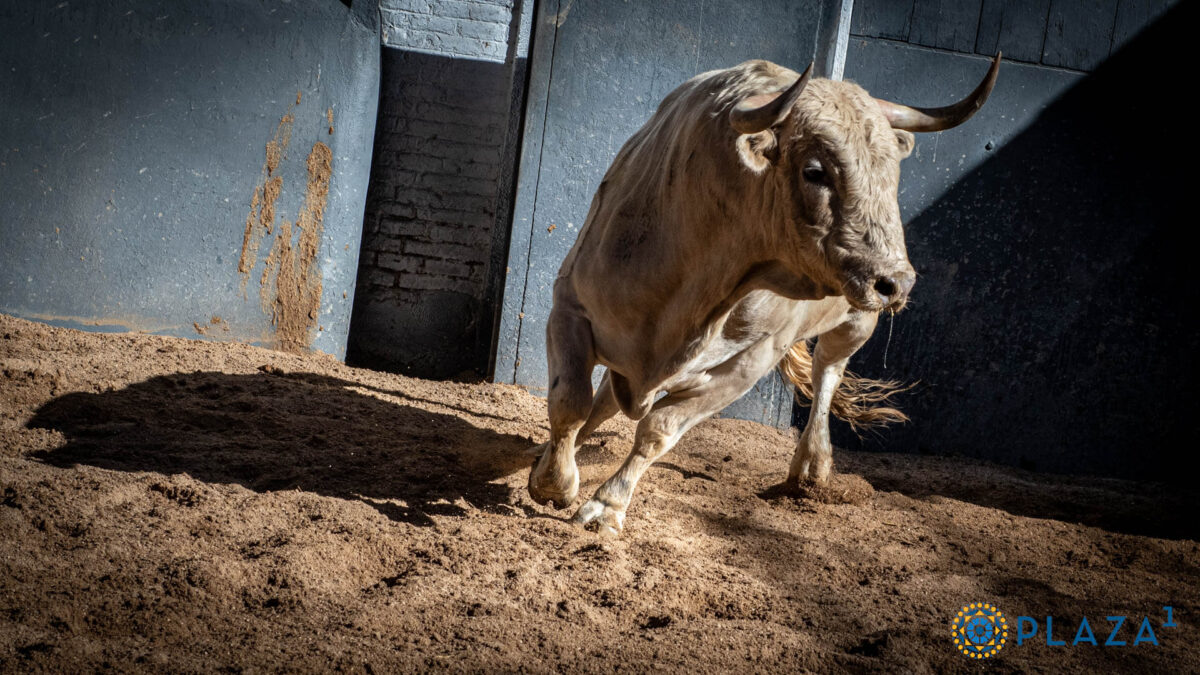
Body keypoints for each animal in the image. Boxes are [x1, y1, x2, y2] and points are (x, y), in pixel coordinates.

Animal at [530, 55, 998, 533]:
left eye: (891, 177)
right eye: (815, 172)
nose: (895, 284)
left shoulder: (749, 363)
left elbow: (659, 429)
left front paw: (606, 505)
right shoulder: (570, 308)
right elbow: (570, 402)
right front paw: (551, 480)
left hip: (855, 323)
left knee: (827, 374)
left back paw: (811, 468)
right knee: (603, 402)